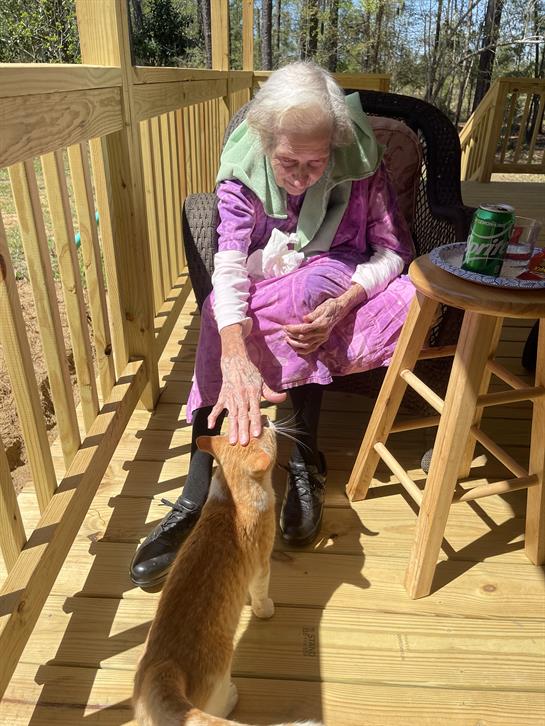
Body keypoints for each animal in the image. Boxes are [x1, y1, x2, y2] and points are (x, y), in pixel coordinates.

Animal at [133, 422, 322, 726]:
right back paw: (231, 698)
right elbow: (260, 593)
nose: (267, 418)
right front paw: (264, 609)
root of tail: (163, 666)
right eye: (263, 428)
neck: (232, 497)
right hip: (221, 671)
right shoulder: (261, 564)